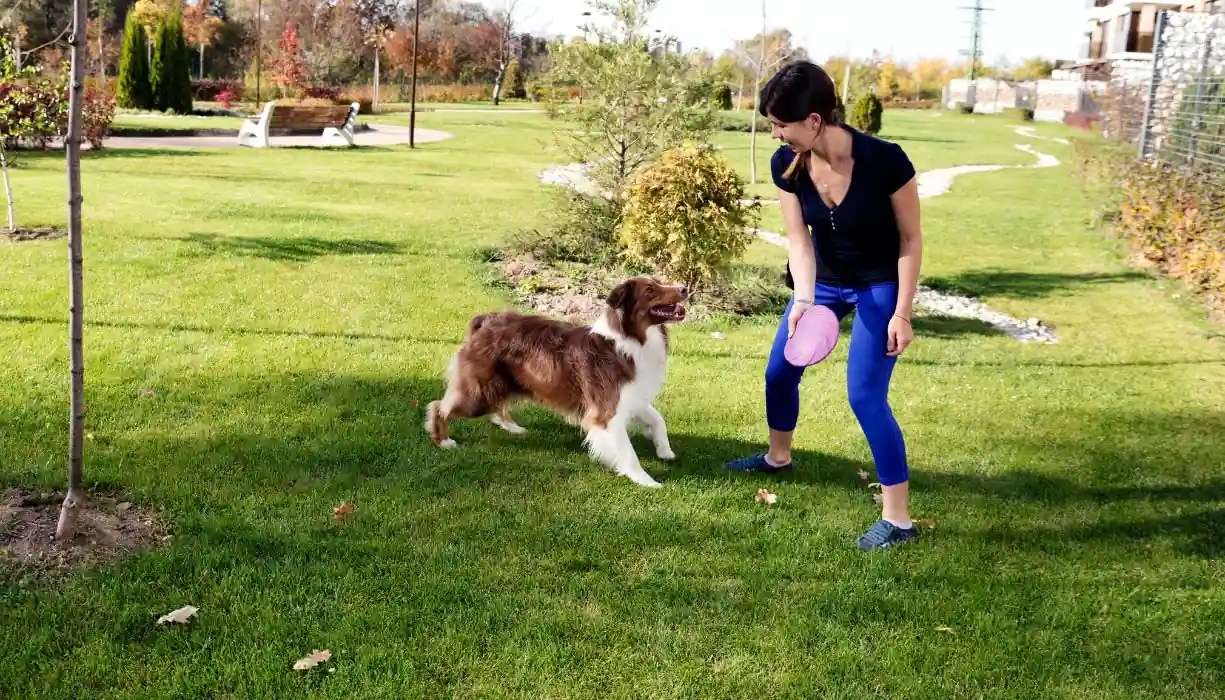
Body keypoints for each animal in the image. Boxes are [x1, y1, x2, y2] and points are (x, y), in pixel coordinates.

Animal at [423, 275, 690, 487]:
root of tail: (485, 322)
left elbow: (658, 419)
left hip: (501, 384)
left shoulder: (631, 397)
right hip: (478, 393)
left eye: (659, 281)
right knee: (439, 406)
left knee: (497, 406)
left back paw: (511, 427)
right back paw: (444, 441)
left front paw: (664, 450)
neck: (631, 340)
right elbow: (627, 451)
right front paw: (646, 480)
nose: (685, 288)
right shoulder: (606, 410)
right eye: (650, 290)